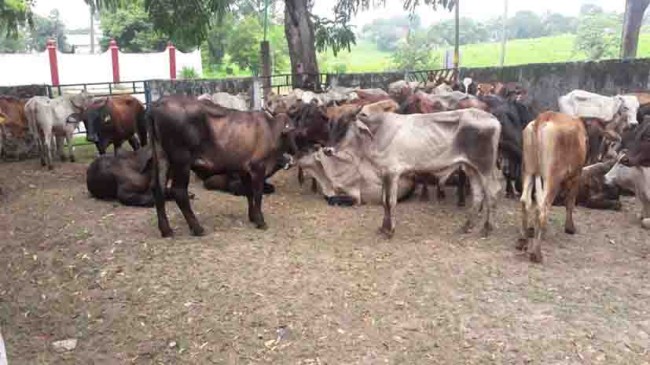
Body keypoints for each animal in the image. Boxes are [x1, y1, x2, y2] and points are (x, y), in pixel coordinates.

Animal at [148, 95, 292, 236]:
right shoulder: (258, 166)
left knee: (158, 188)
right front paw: (260, 221)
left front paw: (252, 217)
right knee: (179, 191)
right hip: (181, 160)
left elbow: (249, 192)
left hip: (162, 157)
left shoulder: (244, 169)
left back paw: (166, 230)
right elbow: (257, 194)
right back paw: (197, 228)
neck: (271, 129)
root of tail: (158, 103)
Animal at [326, 99, 498, 236]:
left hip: (485, 168)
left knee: (491, 193)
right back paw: (467, 226)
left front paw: (390, 230)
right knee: (478, 195)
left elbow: (390, 201)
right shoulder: (384, 173)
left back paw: (487, 228)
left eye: (345, 124)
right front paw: (383, 228)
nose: (327, 150)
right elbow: (383, 201)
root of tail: (493, 119)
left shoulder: (393, 172)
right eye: (331, 124)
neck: (378, 132)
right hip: (471, 168)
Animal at [516, 111, 588, 262]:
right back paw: (536, 254)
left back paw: (523, 240)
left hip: (528, 169)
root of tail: (544, 117)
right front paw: (570, 228)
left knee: (526, 201)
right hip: (552, 177)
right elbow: (570, 202)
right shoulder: (576, 175)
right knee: (543, 208)